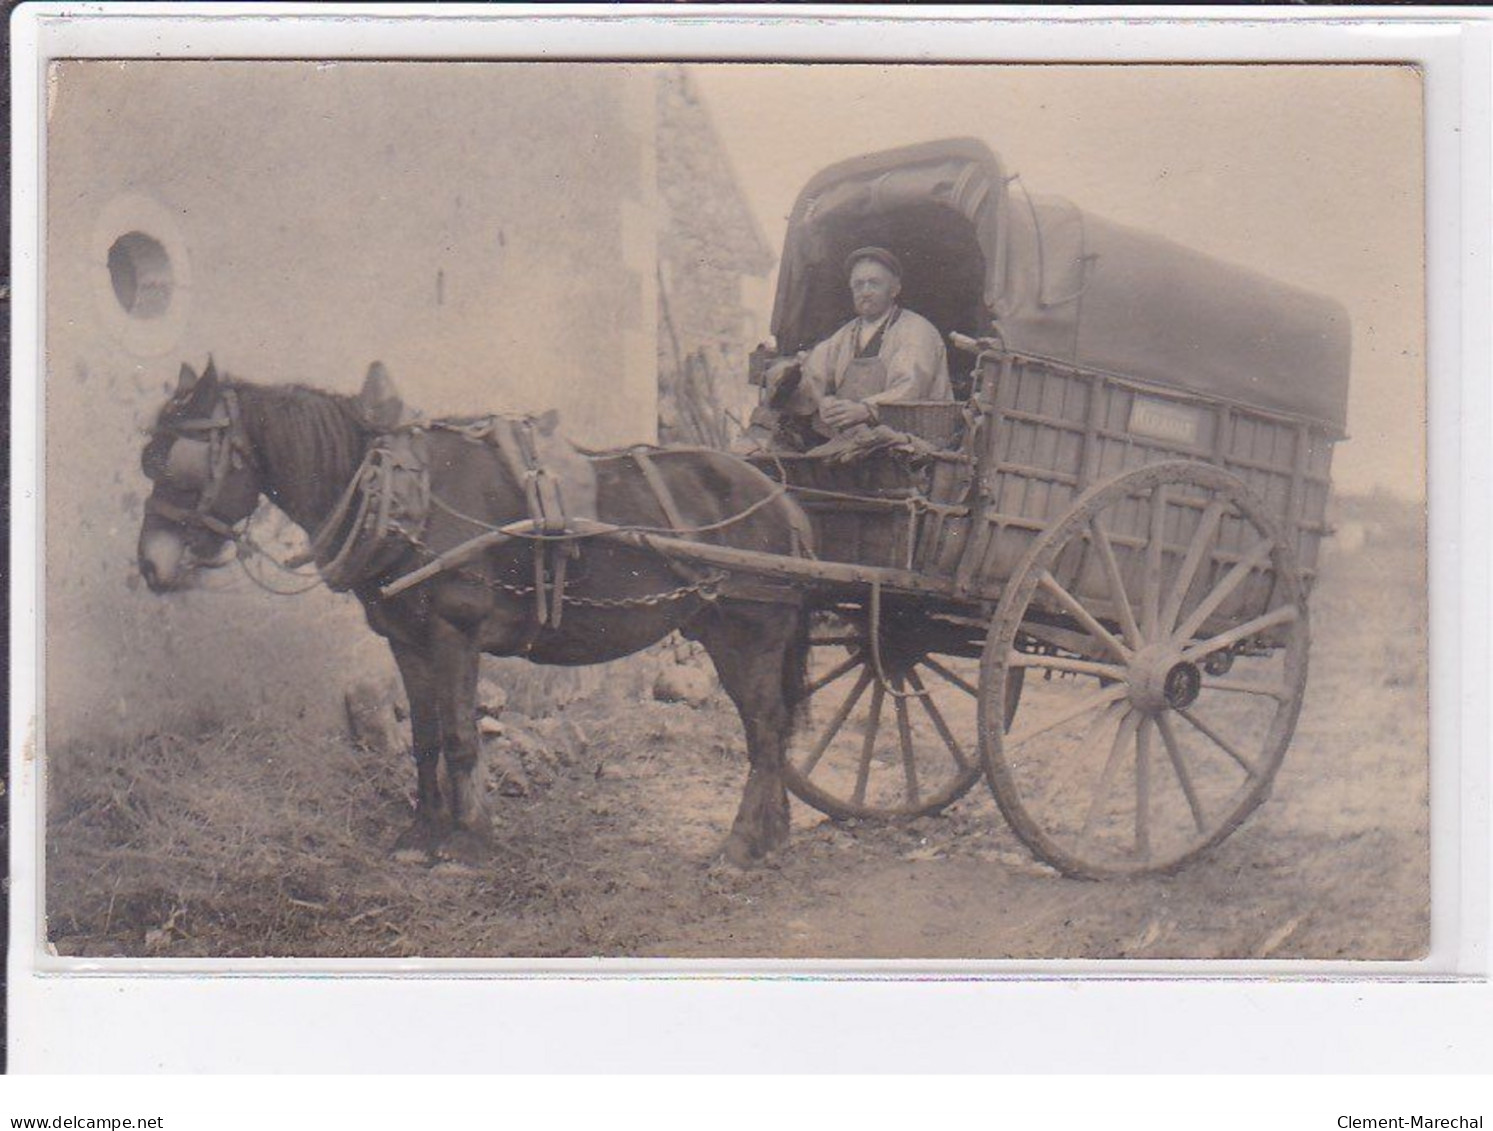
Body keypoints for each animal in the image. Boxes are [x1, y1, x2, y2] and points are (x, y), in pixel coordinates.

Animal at [137, 362, 818, 865]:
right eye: (150, 457)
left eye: (182, 461)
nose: (149, 563)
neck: (402, 496)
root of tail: (783, 500)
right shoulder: (406, 640)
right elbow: (425, 738)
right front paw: (421, 834)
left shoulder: (454, 634)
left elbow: (463, 738)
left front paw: (467, 842)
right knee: (773, 734)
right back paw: (773, 834)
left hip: (746, 637)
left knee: (765, 732)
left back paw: (743, 843)